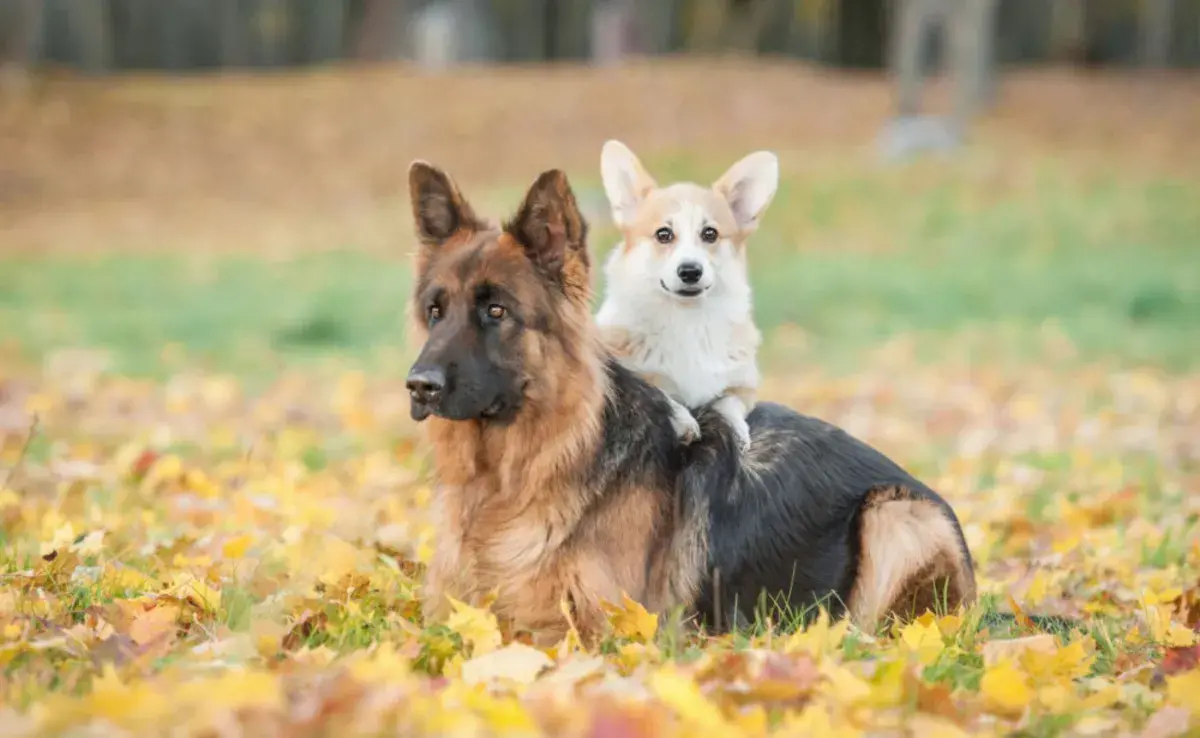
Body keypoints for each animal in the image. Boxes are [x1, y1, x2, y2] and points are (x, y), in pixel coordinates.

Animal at [592, 138, 777, 451]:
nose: (690, 271)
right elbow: (663, 394)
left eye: (710, 234)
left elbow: (728, 404)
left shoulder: (743, 385)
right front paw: (684, 422)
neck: (688, 320)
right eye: (664, 234)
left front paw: (736, 431)